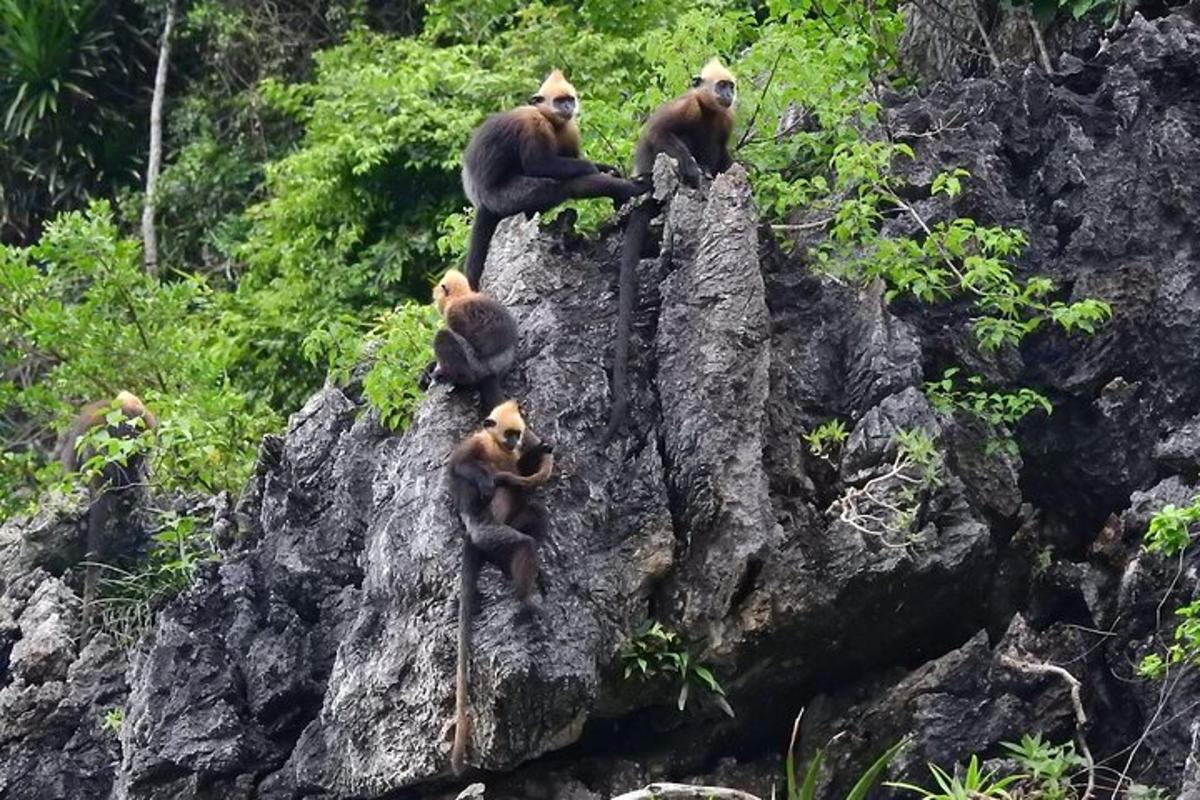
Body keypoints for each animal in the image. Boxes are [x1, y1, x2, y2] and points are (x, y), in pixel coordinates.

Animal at [420, 268, 518, 417]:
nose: (436, 304)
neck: (462, 296)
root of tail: (492, 372)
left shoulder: (454, 313)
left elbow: (481, 343)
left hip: (476, 367)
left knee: (444, 336)